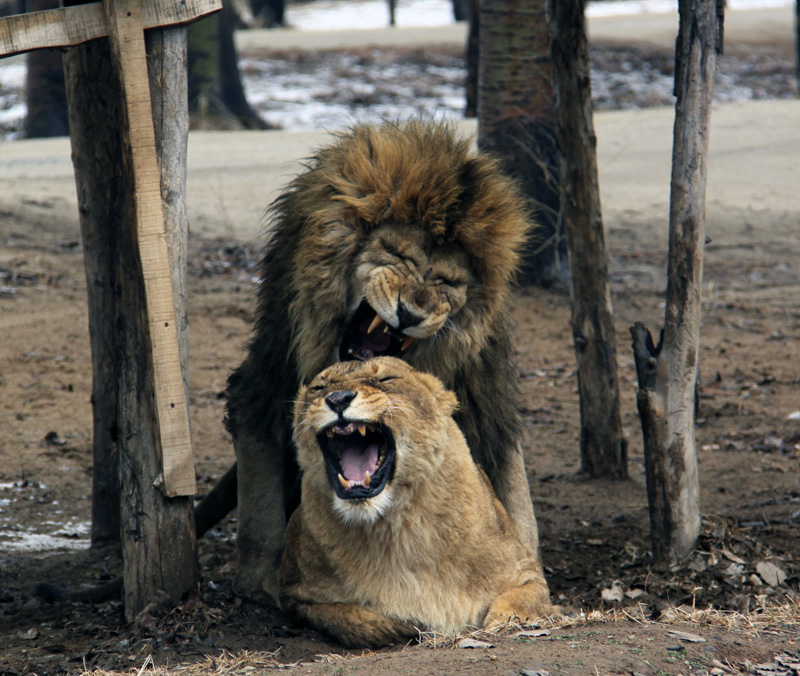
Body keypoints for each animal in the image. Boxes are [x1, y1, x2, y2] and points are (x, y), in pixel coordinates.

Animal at [220, 119, 544, 600]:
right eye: (399, 255)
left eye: (448, 282)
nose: (411, 313)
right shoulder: (267, 378)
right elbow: (260, 496)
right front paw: (261, 580)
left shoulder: (487, 401)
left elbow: (514, 498)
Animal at [282, 356, 556, 648]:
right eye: (319, 387)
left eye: (386, 379)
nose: (337, 398)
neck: (396, 527)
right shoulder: (297, 595)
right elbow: (352, 618)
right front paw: (408, 626)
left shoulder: (528, 573)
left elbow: (517, 602)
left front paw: (500, 623)